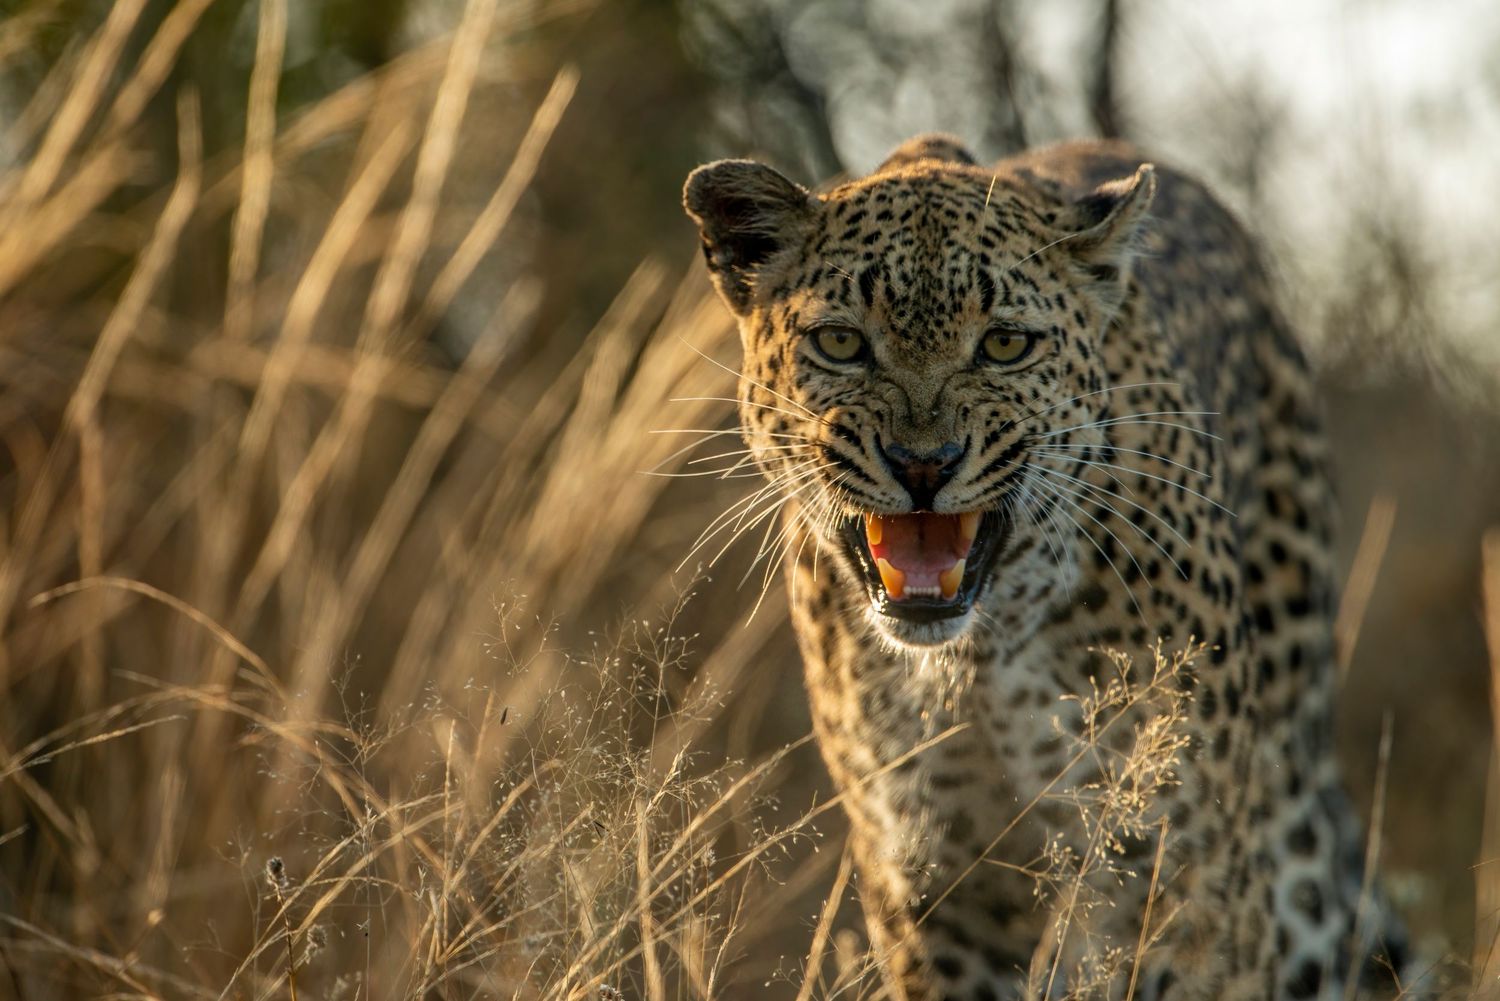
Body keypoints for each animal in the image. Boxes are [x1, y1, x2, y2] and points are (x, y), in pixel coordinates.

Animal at [681, 134, 1416, 1000]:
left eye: (1005, 343)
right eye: (840, 342)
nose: (923, 464)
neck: (977, 657)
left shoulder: (1166, 860)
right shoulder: (932, 879)